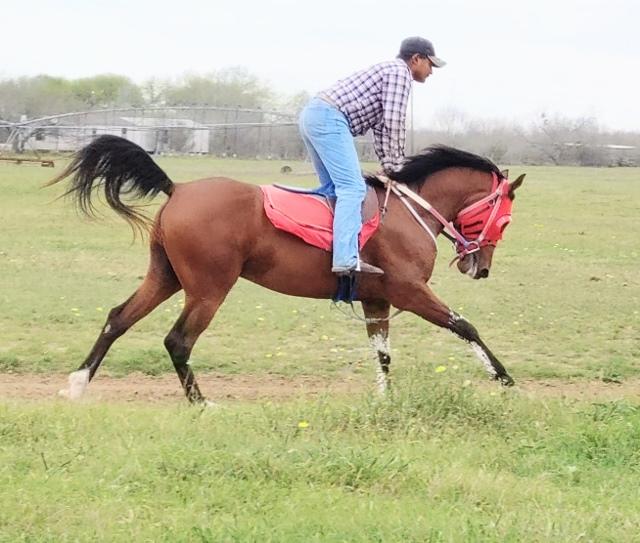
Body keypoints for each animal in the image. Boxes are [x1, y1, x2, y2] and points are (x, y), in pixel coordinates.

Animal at [48, 135, 525, 404]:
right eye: (504, 220)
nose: (481, 268)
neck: (410, 211)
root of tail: (178, 188)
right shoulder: (409, 292)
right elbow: (464, 326)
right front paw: (504, 379)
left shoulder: (376, 299)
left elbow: (383, 353)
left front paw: (385, 399)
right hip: (208, 288)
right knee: (177, 341)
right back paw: (201, 403)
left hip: (165, 277)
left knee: (118, 319)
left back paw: (78, 383)